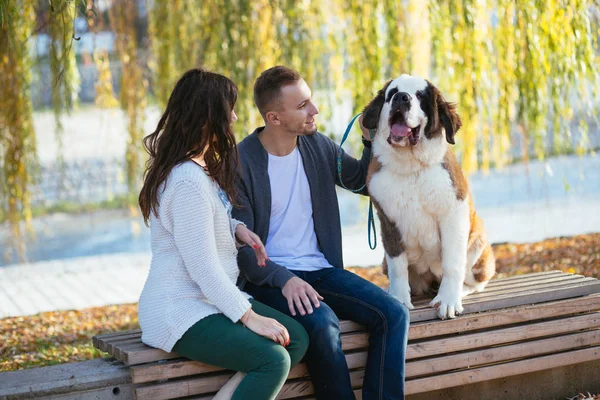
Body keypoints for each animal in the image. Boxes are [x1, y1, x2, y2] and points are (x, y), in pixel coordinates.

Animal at [364, 74, 494, 318]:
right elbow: (397, 266)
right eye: (392, 93)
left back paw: (460, 290)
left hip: (478, 242)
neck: (411, 166)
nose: (401, 97)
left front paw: (448, 300)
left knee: (476, 281)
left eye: (419, 96)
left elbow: (452, 263)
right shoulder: (387, 221)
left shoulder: (453, 215)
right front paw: (398, 298)